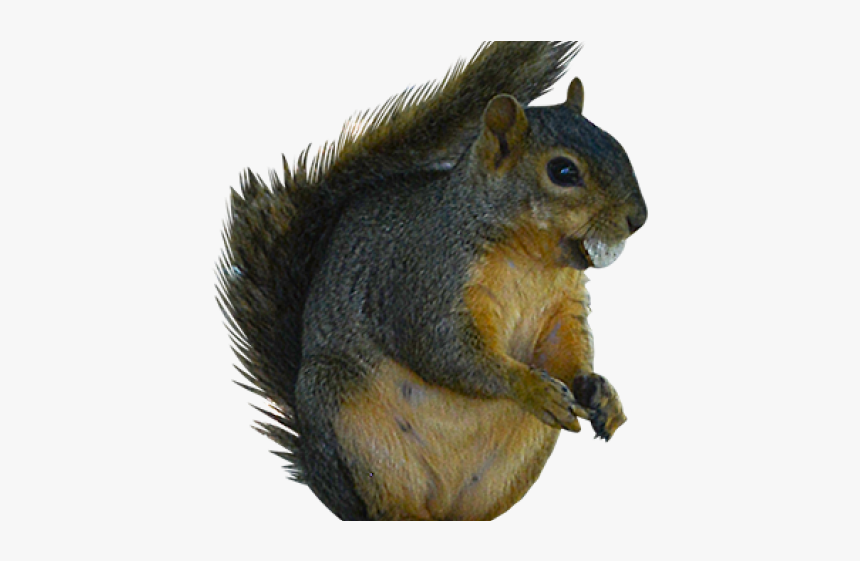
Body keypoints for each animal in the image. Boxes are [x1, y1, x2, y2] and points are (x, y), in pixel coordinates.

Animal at [218, 41, 647, 521]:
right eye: (563, 172)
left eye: (617, 144)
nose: (639, 218)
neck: (533, 260)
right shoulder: (425, 279)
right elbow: (446, 351)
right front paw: (532, 386)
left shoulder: (562, 308)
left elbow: (565, 352)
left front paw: (601, 391)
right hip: (344, 416)